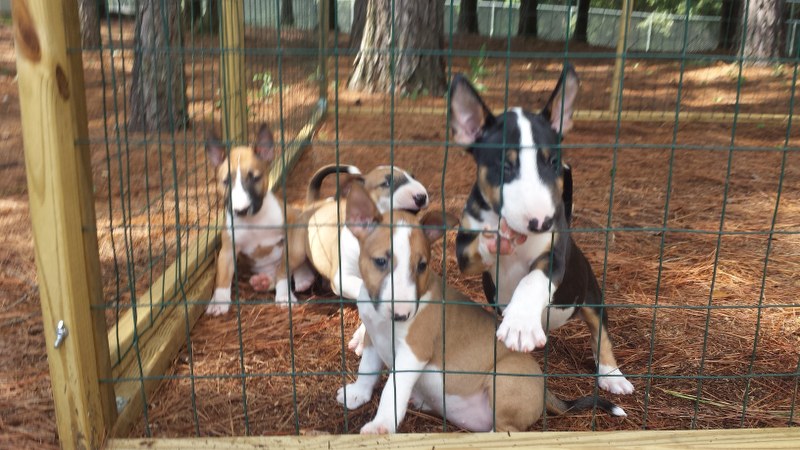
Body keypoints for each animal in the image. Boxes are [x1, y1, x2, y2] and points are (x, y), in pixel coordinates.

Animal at [205, 124, 314, 315]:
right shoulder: (228, 249)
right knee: (273, 276)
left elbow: (285, 269)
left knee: (291, 266)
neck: (254, 221)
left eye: (255, 178)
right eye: (226, 181)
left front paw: (284, 296)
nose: (240, 210)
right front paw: (219, 301)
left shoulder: (291, 222)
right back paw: (263, 282)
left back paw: (303, 279)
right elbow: (222, 276)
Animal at [336, 183, 626, 434]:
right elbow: (367, 369)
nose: (402, 315)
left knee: (506, 431)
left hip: (503, 381)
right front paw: (357, 394)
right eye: (380, 261)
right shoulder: (373, 337)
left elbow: (392, 389)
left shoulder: (414, 352)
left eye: (421, 266)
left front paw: (380, 425)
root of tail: (546, 392)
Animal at [448, 65, 634, 395]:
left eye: (553, 161)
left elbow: (532, 279)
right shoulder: (464, 248)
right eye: (504, 166)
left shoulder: (554, 257)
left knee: (602, 336)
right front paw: (495, 240)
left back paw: (613, 376)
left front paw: (520, 324)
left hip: (592, 298)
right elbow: (475, 247)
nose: (541, 222)